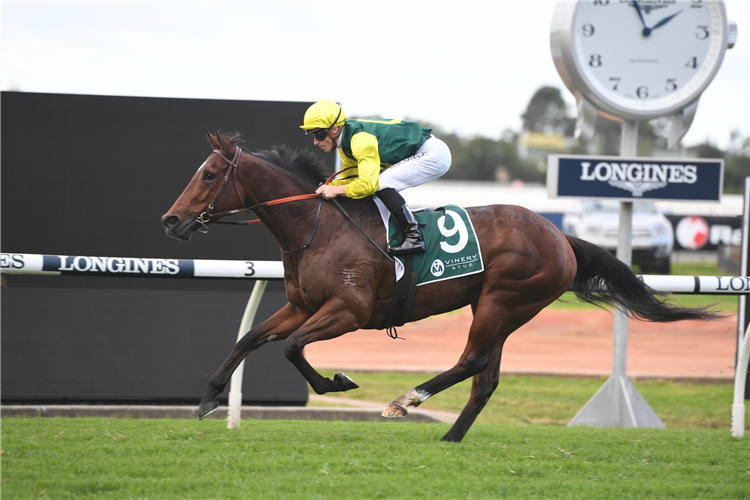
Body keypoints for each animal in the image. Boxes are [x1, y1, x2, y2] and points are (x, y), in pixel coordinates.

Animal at [162, 130, 720, 442]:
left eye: (209, 174)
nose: (171, 220)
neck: (317, 228)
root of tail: (561, 235)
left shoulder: (349, 311)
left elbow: (293, 348)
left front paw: (337, 382)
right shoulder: (302, 306)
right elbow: (250, 338)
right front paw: (208, 398)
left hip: (501, 301)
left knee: (471, 362)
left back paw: (406, 400)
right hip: (500, 310)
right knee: (485, 377)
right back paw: (451, 436)